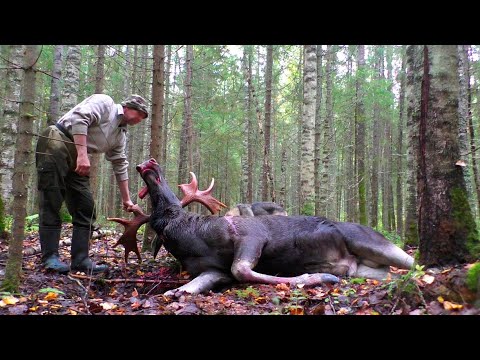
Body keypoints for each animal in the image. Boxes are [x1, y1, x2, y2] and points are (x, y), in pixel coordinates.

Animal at [111, 159, 412, 296]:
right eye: (159, 215)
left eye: (173, 205)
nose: (148, 165)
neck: (195, 239)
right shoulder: (213, 270)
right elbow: (190, 287)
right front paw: (175, 291)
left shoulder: (251, 235)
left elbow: (241, 269)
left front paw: (316, 277)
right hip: (365, 268)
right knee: (390, 272)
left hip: (367, 239)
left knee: (413, 260)